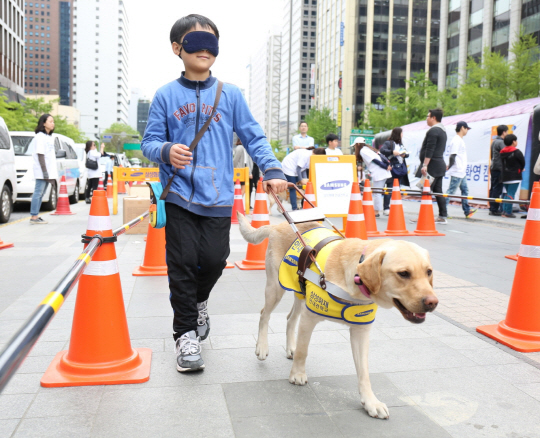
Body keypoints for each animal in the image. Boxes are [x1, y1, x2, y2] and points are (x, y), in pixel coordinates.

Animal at [238, 213, 440, 420]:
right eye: (403, 273)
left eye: (429, 272)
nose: (432, 302)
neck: (356, 279)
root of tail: (278, 226)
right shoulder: (309, 318)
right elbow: (304, 351)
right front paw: (298, 374)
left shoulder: (361, 331)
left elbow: (364, 372)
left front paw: (370, 402)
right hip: (275, 289)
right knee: (264, 315)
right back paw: (262, 347)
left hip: (300, 292)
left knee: (290, 318)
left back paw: (290, 347)